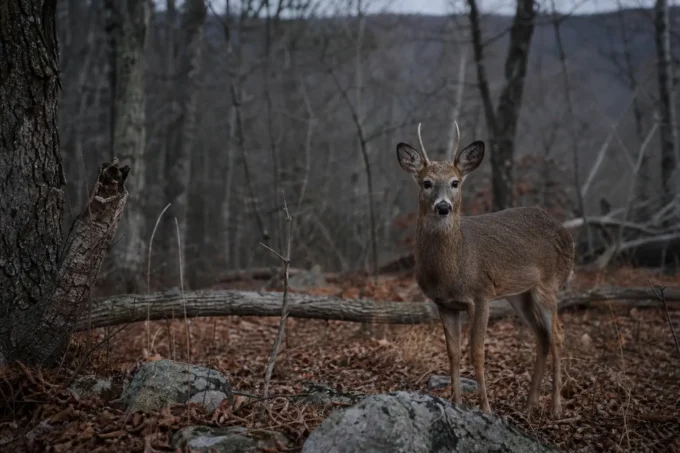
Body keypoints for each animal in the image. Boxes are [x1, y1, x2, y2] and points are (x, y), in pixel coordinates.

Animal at [396, 122, 574, 418]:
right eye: (426, 183)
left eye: (455, 182)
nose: (443, 206)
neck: (452, 269)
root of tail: (568, 235)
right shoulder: (445, 303)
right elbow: (453, 352)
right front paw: (456, 403)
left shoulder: (481, 294)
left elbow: (476, 352)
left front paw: (486, 408)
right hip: (520, 295)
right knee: (542, 336)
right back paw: (529, 404)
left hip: (549, 284)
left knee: (558, 334)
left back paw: (556, 407)